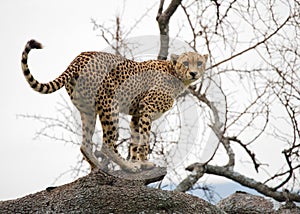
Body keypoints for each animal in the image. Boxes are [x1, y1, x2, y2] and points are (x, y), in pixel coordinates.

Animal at [21, 38, 209, 172]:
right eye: (186, 63)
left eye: (199, 63)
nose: (193, 73)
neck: (175, 74)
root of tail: (78, 58)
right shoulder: (146, 108)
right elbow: (145, 140)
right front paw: (142, 163)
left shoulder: (137, 114)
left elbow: (134, 141)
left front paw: (137, 162)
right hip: (110, 105)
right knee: (106, 144)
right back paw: (125, 166)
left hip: (88, 111)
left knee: (85, 144)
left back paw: (99, 168)